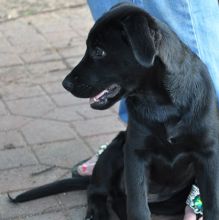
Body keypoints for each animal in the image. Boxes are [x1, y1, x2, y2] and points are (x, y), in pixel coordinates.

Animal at [9, 3, 219, 220]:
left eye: (98, 51)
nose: (65, 84)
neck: (161, 104)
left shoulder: (209, 154)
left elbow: (212, 201)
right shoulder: (135, 152)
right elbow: (138, 206)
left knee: (119, 199)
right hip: (115, 148)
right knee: (97, 190)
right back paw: (99, 213)